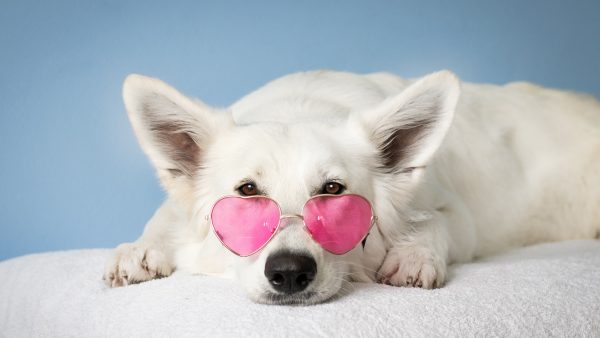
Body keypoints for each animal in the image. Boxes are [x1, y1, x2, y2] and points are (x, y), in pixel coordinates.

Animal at [103, 69, 600, 304]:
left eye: (333, 191)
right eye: (247, 193)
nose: (289, 273)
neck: (300, 105)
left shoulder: (459, 215)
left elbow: (434, 224)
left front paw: (413, 255)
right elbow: (163, 218)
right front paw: (139, 249)